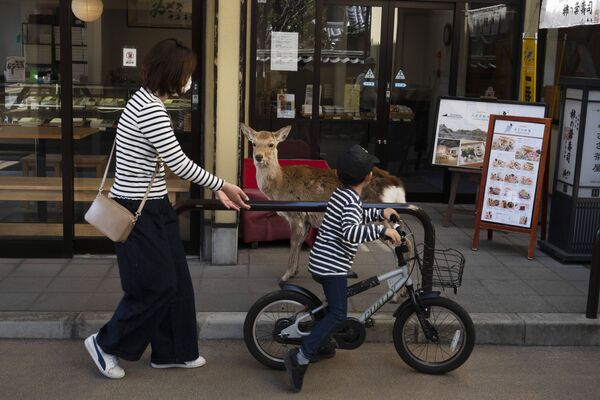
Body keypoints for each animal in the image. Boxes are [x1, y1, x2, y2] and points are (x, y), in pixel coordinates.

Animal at [241, 123, 410, 290]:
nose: (258, 157)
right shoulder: (307, 220)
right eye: (254, 143)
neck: (280, 184)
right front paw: (295, 271)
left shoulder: (296, 214)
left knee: (403, 242)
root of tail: (397, 185)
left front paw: (285, 276)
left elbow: (293, 242)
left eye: (271, 144)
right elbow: (300, 242)